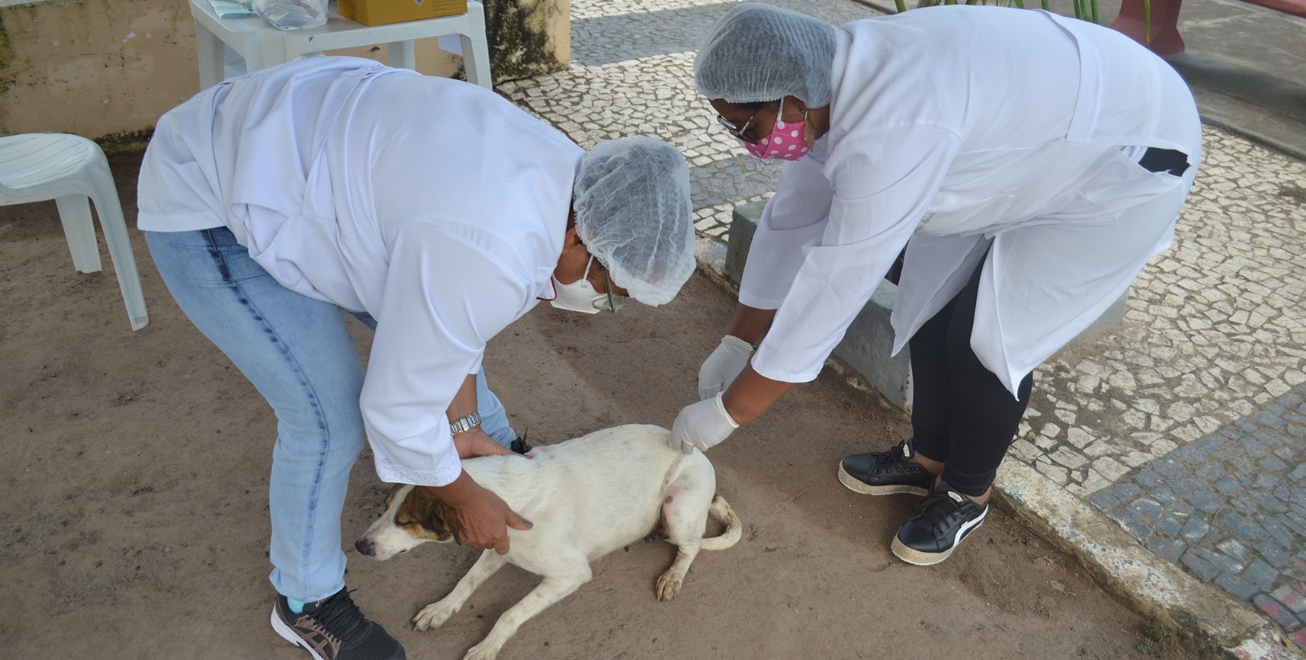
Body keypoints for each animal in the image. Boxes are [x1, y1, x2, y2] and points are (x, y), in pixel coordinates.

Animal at [357, 420, 741, 658]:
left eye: (405, 521)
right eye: (385, 506)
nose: (360, 547)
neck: (508, 495)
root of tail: (700, 455)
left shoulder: (570, 574)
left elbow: (509, 614)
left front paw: (486, 647)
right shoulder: (500, 546)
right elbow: (466, 582)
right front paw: (441, 609)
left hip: (678, 508)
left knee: (691, 546)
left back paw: (673, 576)